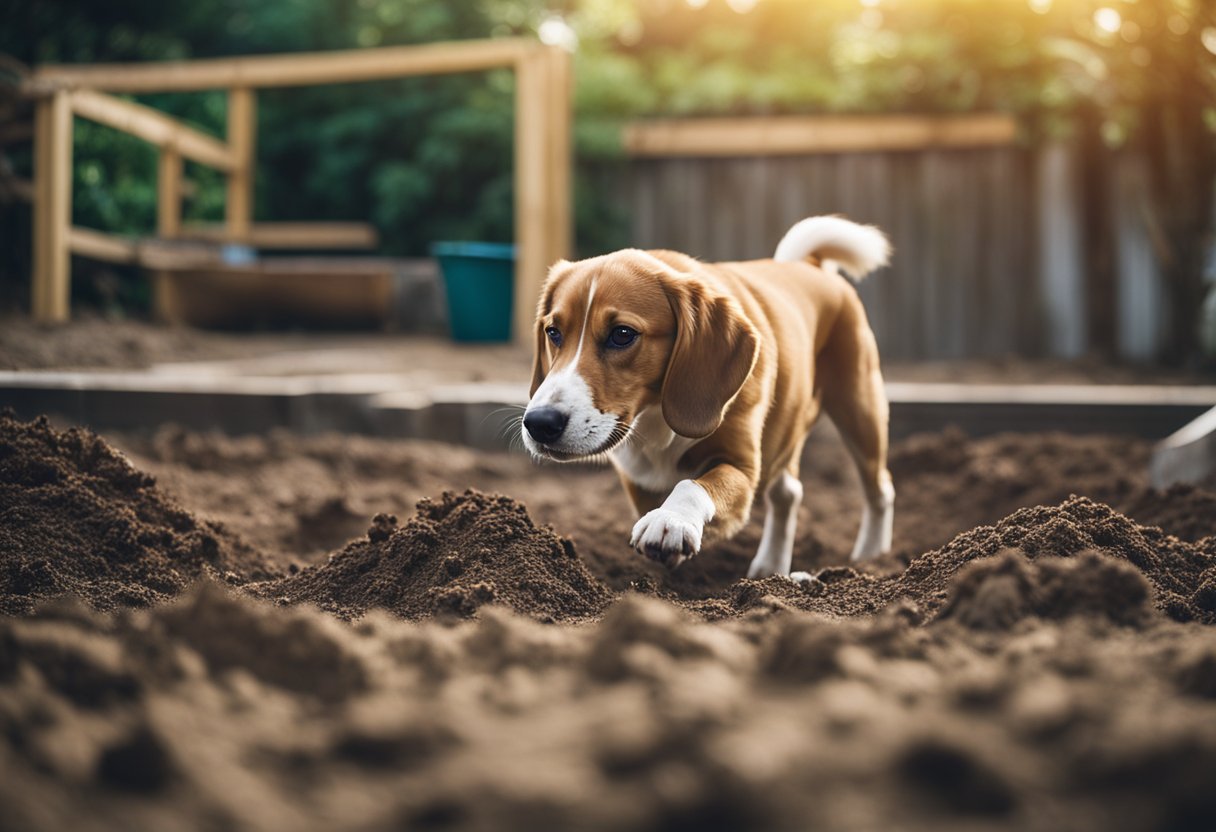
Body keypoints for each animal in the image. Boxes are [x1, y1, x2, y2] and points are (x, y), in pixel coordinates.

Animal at [520, 214, 894, 578]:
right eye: (553, 332)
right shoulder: (637, 476)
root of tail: (810, 265)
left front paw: (670, 521)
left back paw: (871, 558)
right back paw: (771, 568)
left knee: (880, 490)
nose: (540, 423)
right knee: (789, 493)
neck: (656, 417)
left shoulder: (742, 468)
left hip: (861, 413)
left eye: (622, 334)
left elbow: (692, 484)